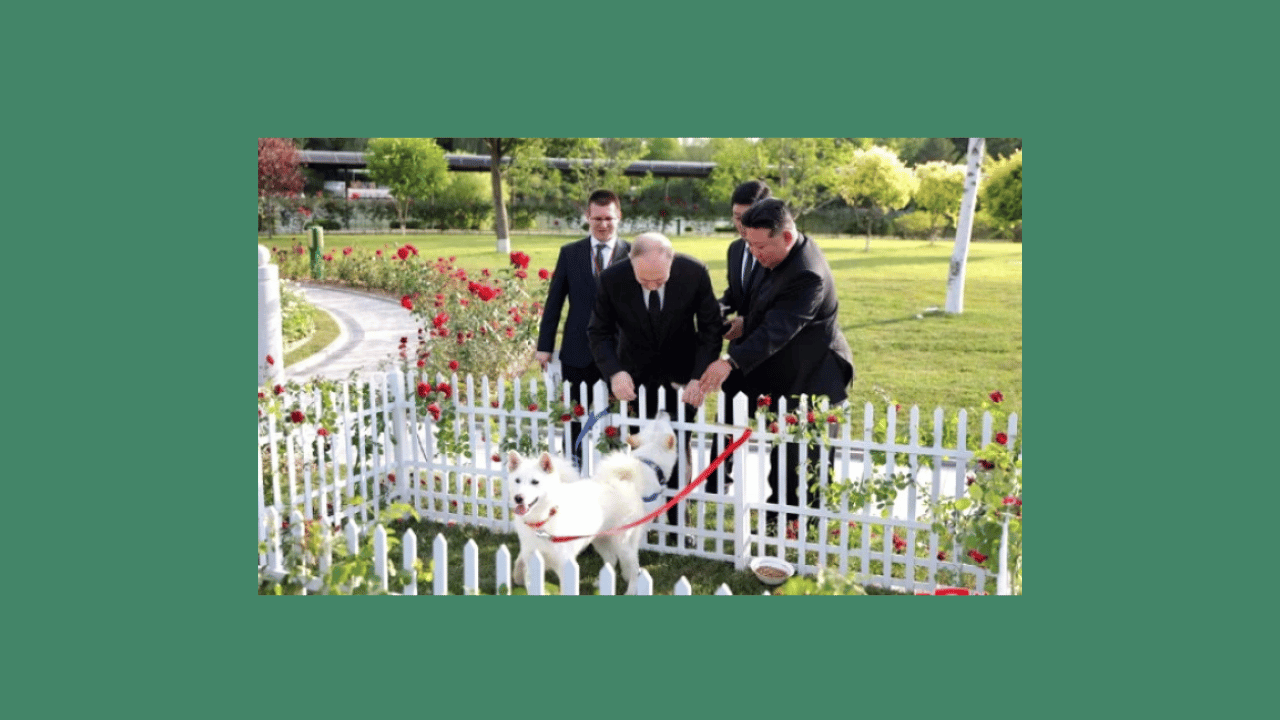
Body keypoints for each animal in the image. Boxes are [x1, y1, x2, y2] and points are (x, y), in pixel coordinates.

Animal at [506, 412, 680, 591]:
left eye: (535, 482)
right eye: (517, 480)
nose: (518, 498)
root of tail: (625, 483)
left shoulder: (565, 563)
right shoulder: (533, 561)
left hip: (622, 543)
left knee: (633, 569)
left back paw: (630, 590)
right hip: (601, 540)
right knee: (613, 559)